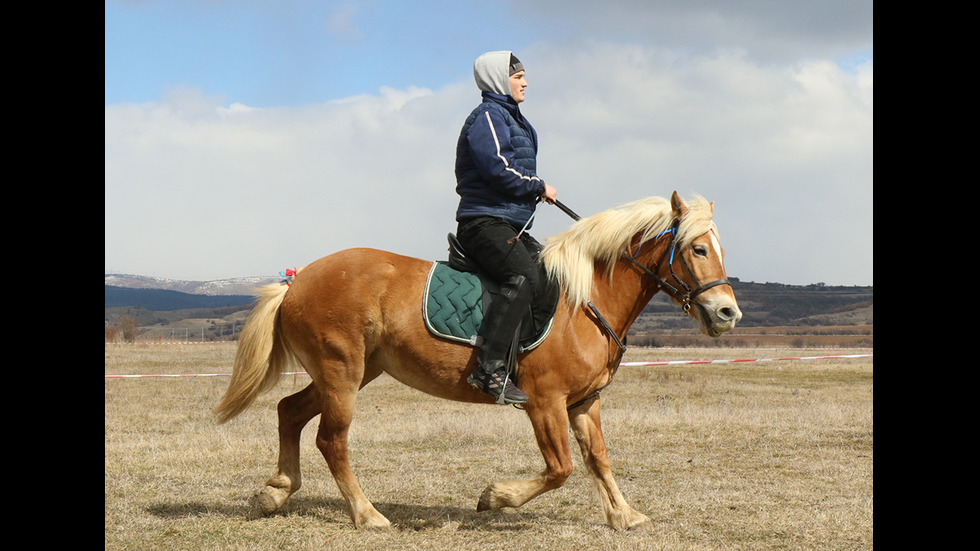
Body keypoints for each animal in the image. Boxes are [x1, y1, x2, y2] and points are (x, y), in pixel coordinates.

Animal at [214, 193, 736, 532]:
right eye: (697, 249)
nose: (728, 313)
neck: (583, 298)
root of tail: (296, 282)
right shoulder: (544, 402)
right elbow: (561, 468)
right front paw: (495, 497)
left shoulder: (584, 403)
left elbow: (599, 460)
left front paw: (623, 515)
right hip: (342, 373)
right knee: (331, 440)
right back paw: (367, 515)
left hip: (350, 372)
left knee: (290, 412)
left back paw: (274, 492)